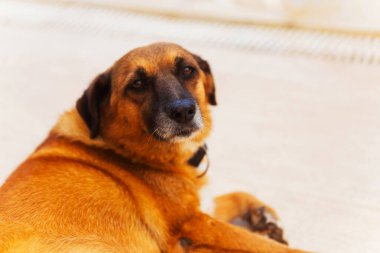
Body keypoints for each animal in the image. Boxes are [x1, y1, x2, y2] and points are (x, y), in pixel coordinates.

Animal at [0, 42, 308, 252]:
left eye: (187, 70)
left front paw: (260, 213)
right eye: (137, 84)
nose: (183, 111)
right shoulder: (194, 225)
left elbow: (228, 195)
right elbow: (267, 246)